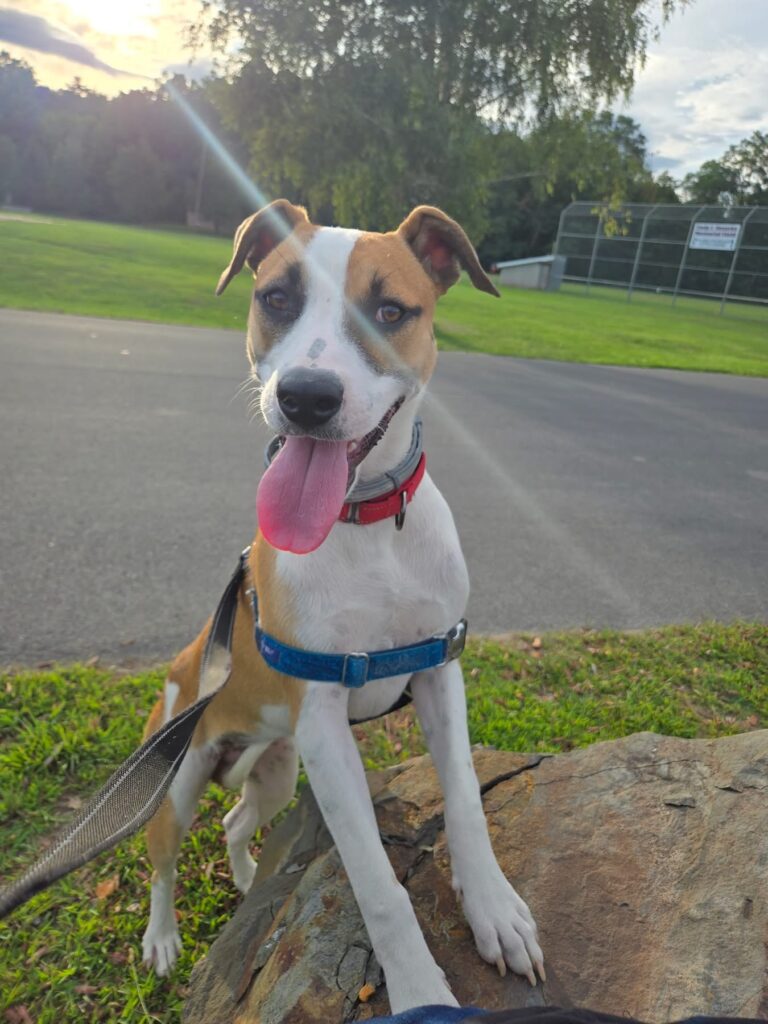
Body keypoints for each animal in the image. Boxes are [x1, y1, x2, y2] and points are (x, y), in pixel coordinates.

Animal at [140, 199, 544, 1012]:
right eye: (276, 298)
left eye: (390, 311)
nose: (306, 396)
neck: (368, 525)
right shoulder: (326, 728)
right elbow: (378, 884)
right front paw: (419, 991)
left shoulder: (438, 669)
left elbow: (467, 801)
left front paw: (495, 910)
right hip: (181, 776)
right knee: (164, 857)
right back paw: (162, 939)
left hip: (276, 770)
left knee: (236, 820)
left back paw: (247, 879)